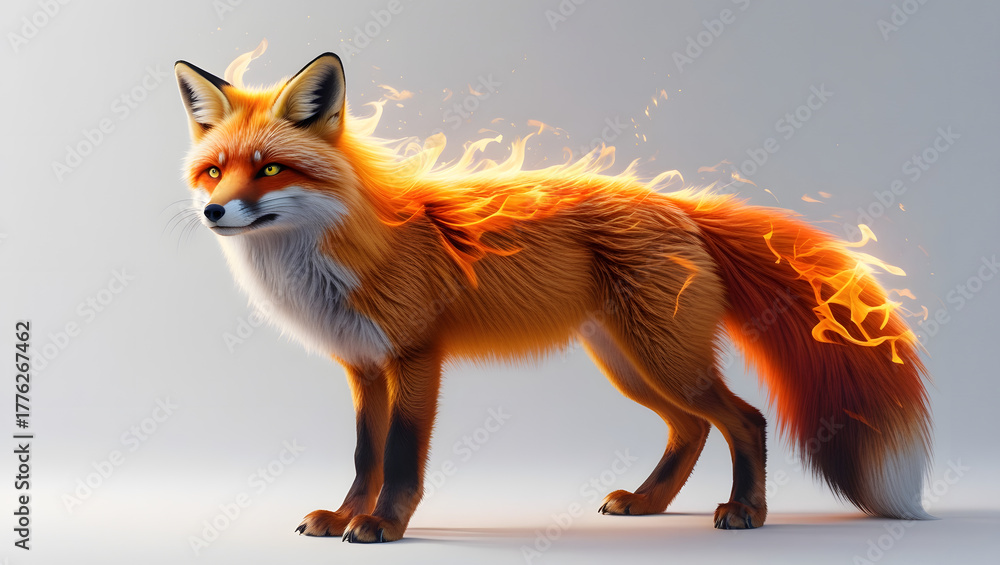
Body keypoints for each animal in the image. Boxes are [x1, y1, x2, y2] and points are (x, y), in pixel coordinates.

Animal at [173, 52, 932, 542]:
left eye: (271, 169)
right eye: (213, 170)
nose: (213, 212)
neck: (339, 254)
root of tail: (677, 205)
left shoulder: (416, 357)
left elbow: (403, 455)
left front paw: (384, 523)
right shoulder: (363, 367)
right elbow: (365, 456)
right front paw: (343, 515)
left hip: (664, 359)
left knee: (744, 419)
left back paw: (746, 511)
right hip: (630, 365)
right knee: (689, 428)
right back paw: (648, 503)